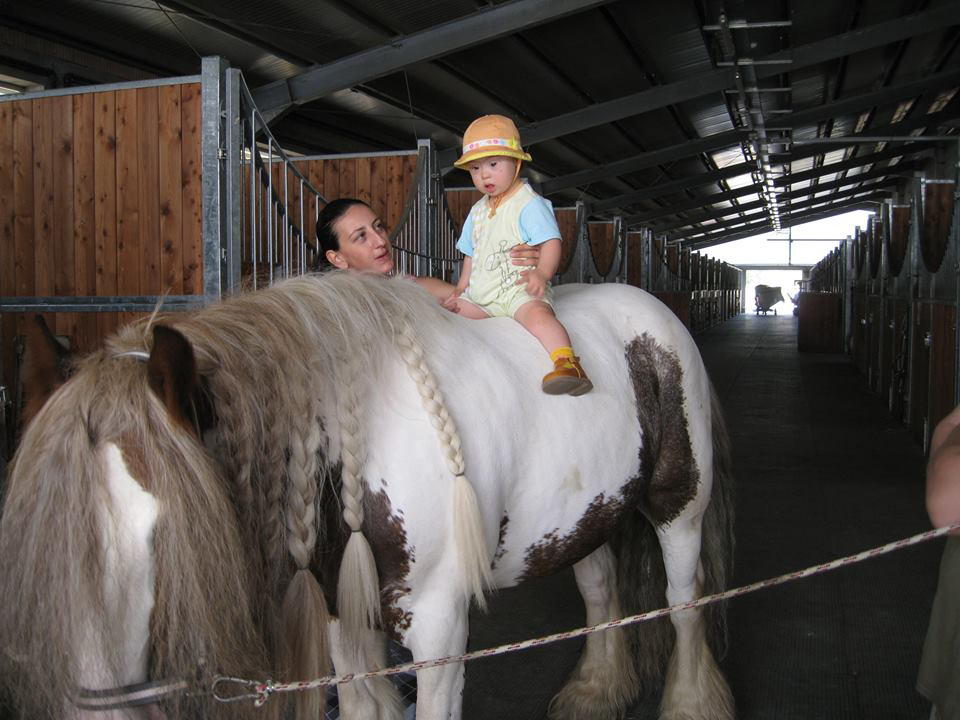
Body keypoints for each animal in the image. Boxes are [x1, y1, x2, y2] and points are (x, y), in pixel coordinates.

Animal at [0, 272, 736, 720]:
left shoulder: (440, 628)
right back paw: (596, 691)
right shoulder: (342, 619)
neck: (353, 438)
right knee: (599, 590)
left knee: (684, 604)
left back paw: (690, 700)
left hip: (679, 508)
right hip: (588, 517)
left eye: (163, 532)